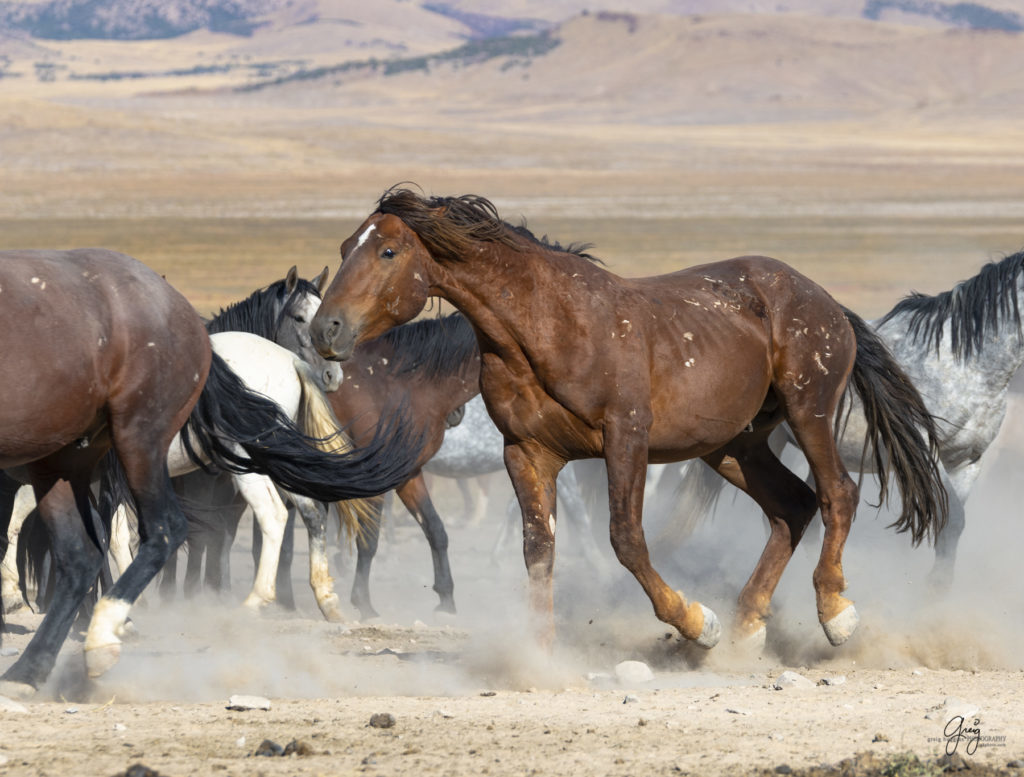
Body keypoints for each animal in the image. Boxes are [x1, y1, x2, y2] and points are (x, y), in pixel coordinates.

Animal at [307, 188, 946, 651]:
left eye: (388, 252)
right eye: (342, 248)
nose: (325, 331)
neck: (549, 326)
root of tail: (825, 300)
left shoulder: (625, 440)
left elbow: (626, 540)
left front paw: (696, 623)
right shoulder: (526, 452)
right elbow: (539, 548)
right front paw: (538, 656)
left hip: (807, 412)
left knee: (838, 493)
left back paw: (834, 614)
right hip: (733, 445)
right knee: (793, 506)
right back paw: (748, 627)